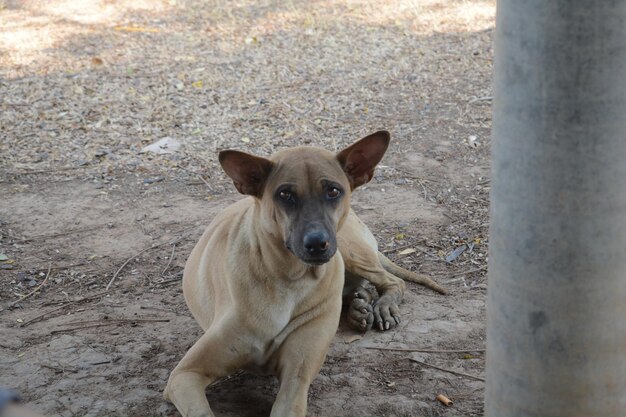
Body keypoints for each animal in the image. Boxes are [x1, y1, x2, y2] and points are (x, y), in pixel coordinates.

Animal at [161, 131, 444, 416]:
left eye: (333, 191)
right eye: (285, 194)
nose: (317, 243)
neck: (290, 278)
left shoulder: (297, 378)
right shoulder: (185, 375)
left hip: (348, 249)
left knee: (392, 281)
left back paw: (379, 307)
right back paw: (359, 306)